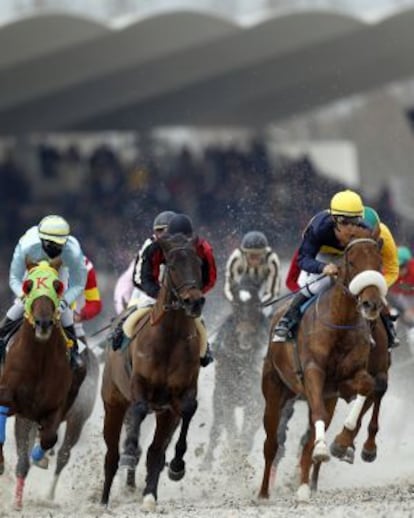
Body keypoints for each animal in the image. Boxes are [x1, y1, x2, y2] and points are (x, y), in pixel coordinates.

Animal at [0, 262, 84, 510]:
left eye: (58, 286)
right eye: (28, 285)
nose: (44, 323)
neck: (38, 360)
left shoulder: (52, 408)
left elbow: (48, 438)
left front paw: (39, 456)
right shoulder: (9, 398)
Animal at [102, 234, 205, 512]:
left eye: (199, 264)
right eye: (172, 265)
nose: (194, 301)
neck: (170, 337)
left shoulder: (180, 397)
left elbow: (188, 410)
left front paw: (177, 466)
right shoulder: (139, 385)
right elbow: (138, 410)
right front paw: (130, 452)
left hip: (164, 414)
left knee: (156, 451)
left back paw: (149, 494)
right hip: (113, 404)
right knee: (111, 455)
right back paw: (103, 500)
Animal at [204, 278, 268, 470]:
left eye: (258, 304)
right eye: (235, 305)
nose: (245, 335)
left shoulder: (257, 402)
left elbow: (247, 436)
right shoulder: (226, 399)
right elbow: (231, 431)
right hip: (217, 400)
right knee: (216, 429)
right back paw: (206, 462)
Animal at [260, 234, 386, 506]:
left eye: (379, 262)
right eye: (351, 262)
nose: (371, 304)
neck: (340, 323)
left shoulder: (342, 382)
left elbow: (368, 386)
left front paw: (342, 441)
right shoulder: (313, 373)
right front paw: (324, 448)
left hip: (326, 398)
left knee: (306, 442)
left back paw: (304, 488)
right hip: (275, 390)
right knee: (271, 444)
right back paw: (263, 493)